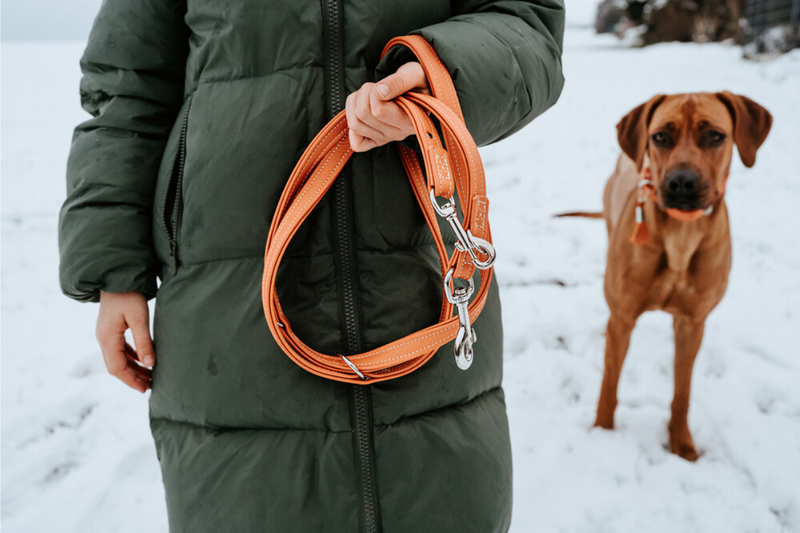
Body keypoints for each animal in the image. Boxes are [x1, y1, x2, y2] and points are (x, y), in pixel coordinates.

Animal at [560, 91, 772, 458]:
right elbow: (609, 384)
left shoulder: (693, 322)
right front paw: (603, 433)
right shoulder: (624, 317)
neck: (681, 237)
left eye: (715, 136)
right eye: (660, 136)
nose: (681, 182)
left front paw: (682, 443)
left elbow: (682, 392)